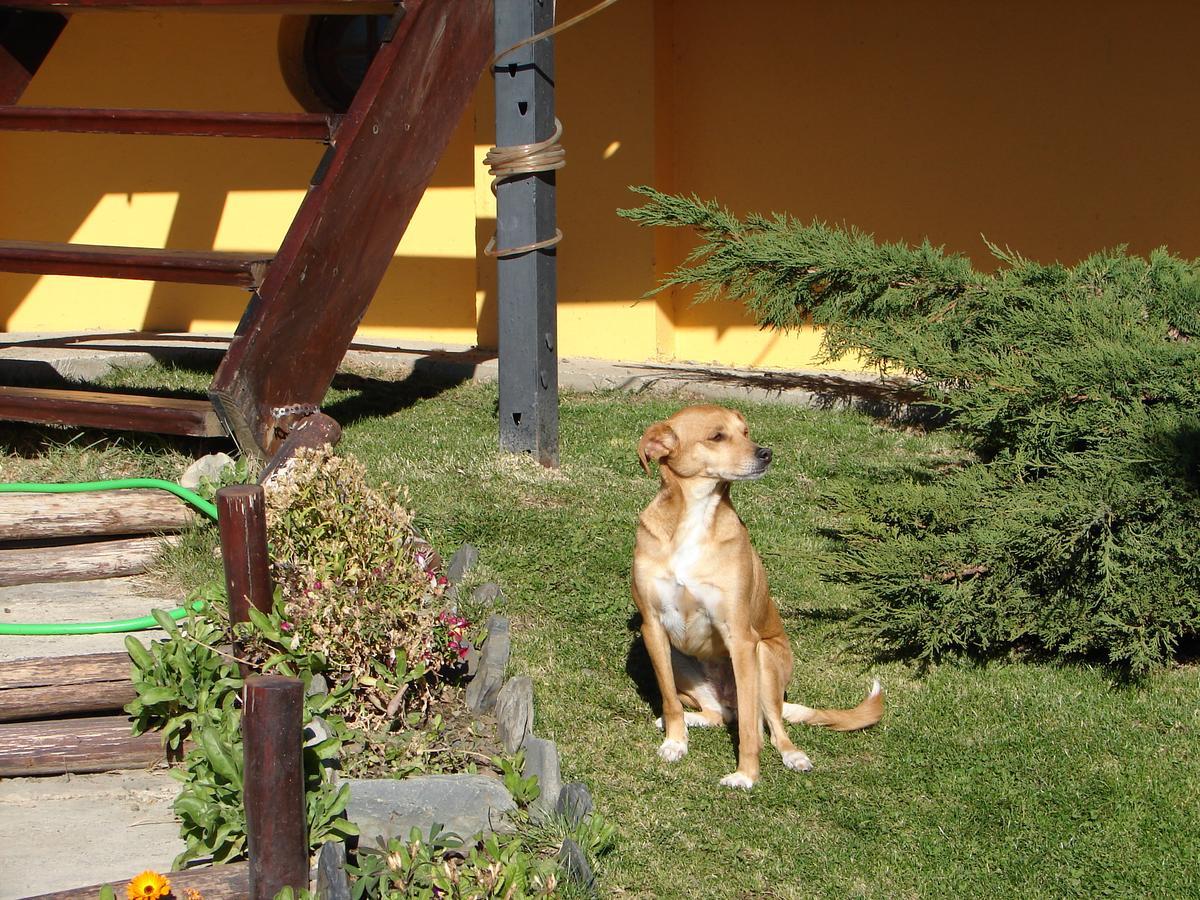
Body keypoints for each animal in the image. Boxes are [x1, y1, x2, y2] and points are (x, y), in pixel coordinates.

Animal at [628, 403, 883, 787]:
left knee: (771, 725)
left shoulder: (741, 638)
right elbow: (670, 700)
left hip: (764, 660)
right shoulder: (653, 628)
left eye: (745, 431)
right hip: (678, 657)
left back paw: (793, 755)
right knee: (719, 713)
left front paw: (746, 776)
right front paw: (675, 742)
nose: (766, 453)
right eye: (717, 436)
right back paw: (690, 722)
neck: (695, 519)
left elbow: (751, 729)